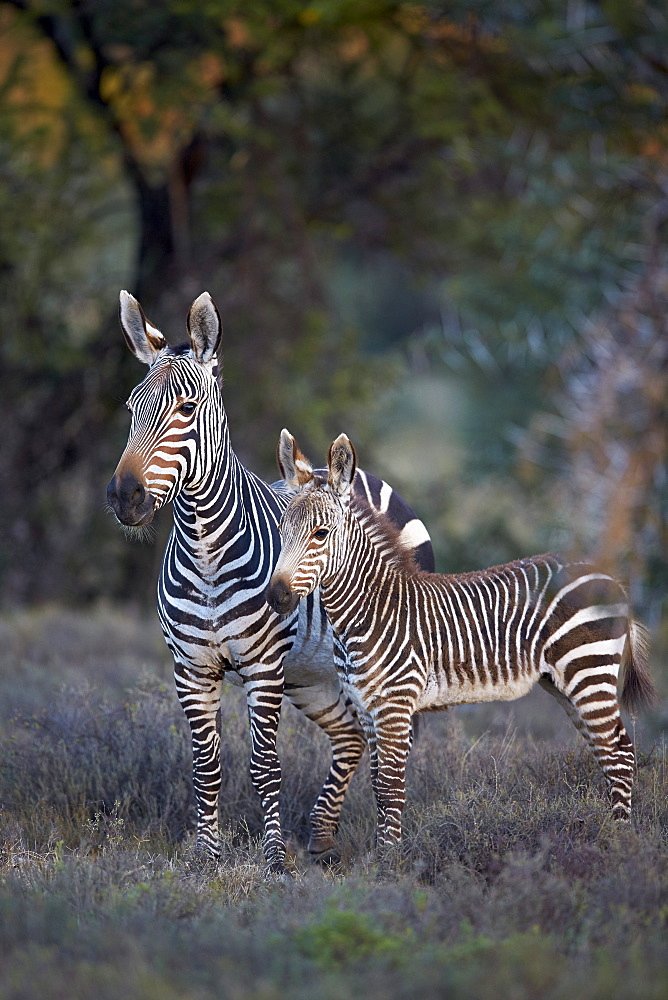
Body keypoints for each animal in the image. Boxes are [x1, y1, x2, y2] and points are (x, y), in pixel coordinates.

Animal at [106, 288, 436, 868]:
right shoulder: (191, 669)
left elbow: (265, 767)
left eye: (186, 409)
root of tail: (346, 473)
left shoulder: (263, 668)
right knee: (350, 737)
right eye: (131, 409)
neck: (206, 554)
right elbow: (206, 766)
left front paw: (275, 860)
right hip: (312, 675)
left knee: (389, 745)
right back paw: (322, 839)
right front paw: (206, 856)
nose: (125, 497)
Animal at [268, 430, 656, 852]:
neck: (372, 607)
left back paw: (618, 841)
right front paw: (381, 855)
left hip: (588, 670)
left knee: (620, 753)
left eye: (320, 534)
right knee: (607, 751)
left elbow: (390, 787)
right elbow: (376, 786)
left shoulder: (395, 705)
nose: (275, 597)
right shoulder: (367, 706)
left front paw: (390, 859)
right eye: (281, 531)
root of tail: (609, 577)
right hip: (565, 683)